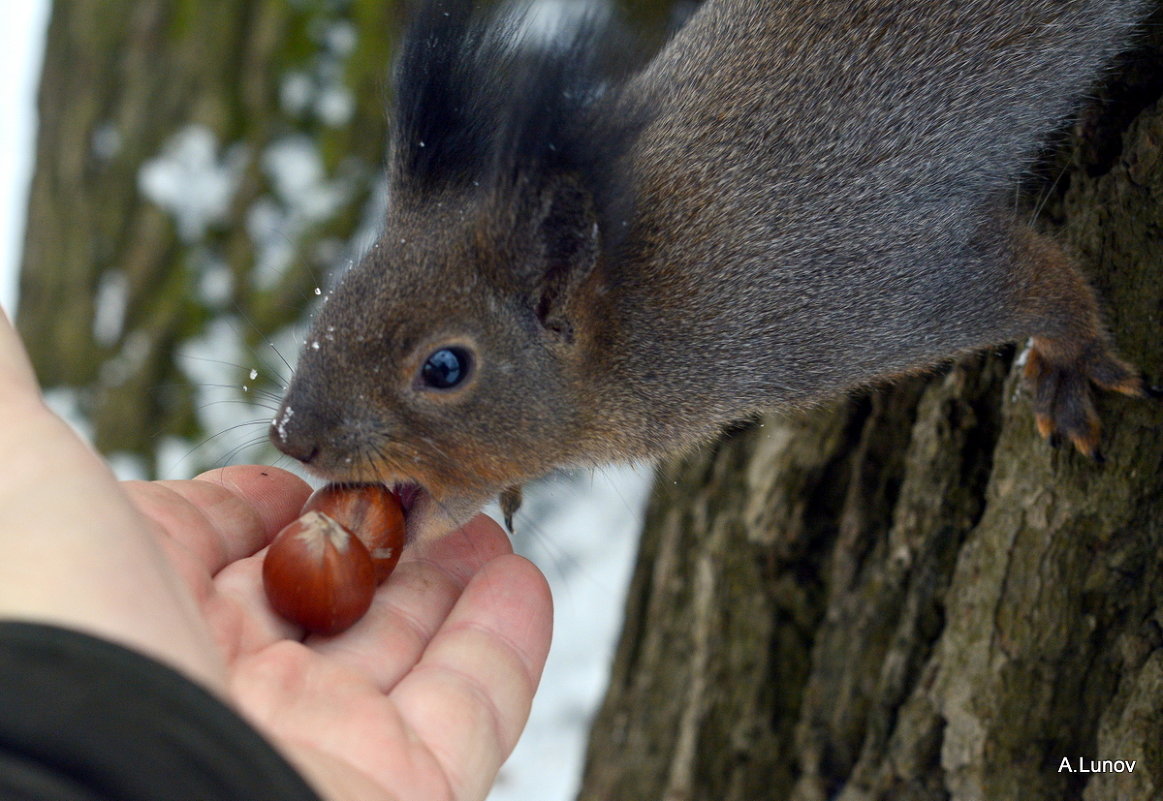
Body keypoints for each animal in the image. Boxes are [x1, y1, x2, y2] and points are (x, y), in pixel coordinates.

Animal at [269, 1, 1153, 544]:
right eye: (332, 301)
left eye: (445, 367)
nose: (291, 436)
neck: (640, 296)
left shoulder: (867, 288)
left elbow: (1028, 275)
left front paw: (1065, 358)